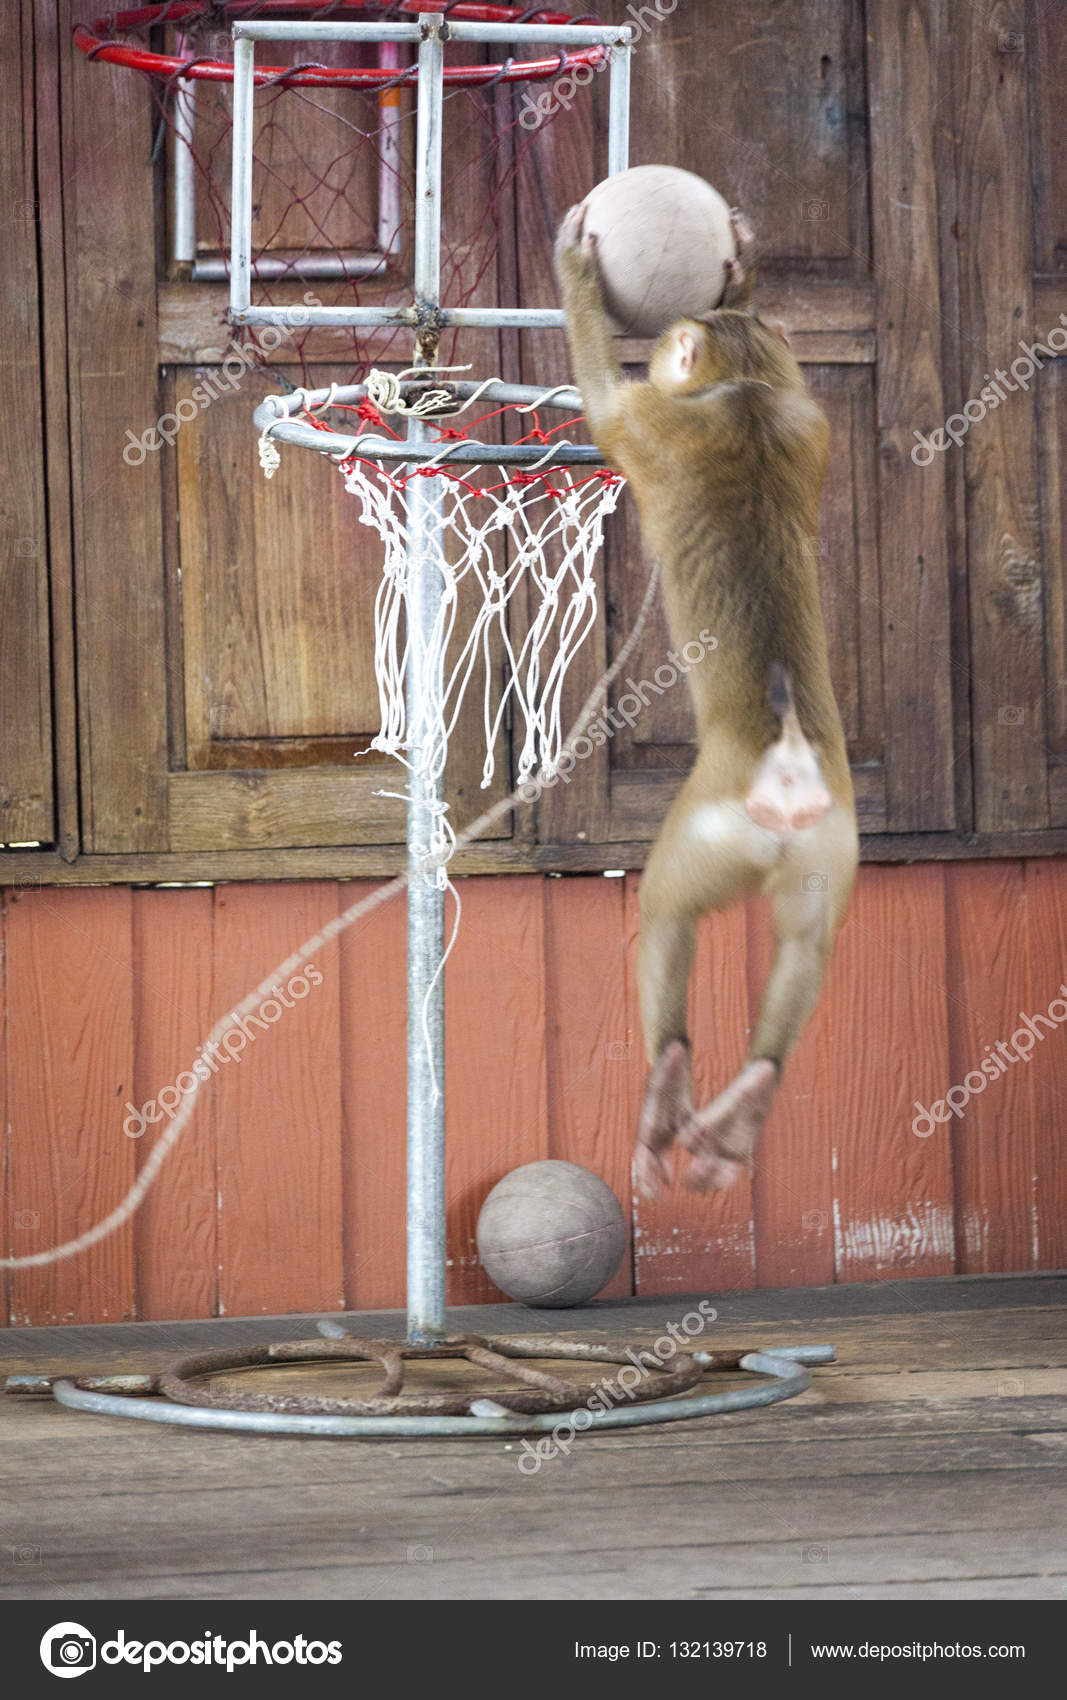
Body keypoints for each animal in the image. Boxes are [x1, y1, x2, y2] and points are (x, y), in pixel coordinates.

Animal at [550, 205, 859, 1203]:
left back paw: (666, 1092)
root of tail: (786, 765)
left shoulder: (651, 420)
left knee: (665, 914)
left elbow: (604, 403)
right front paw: (745, 271)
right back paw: (745, 1102)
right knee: (805, 949)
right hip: (826, 847)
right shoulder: (810, 418)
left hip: (714, 829)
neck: (747, 391)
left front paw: (575, 270)